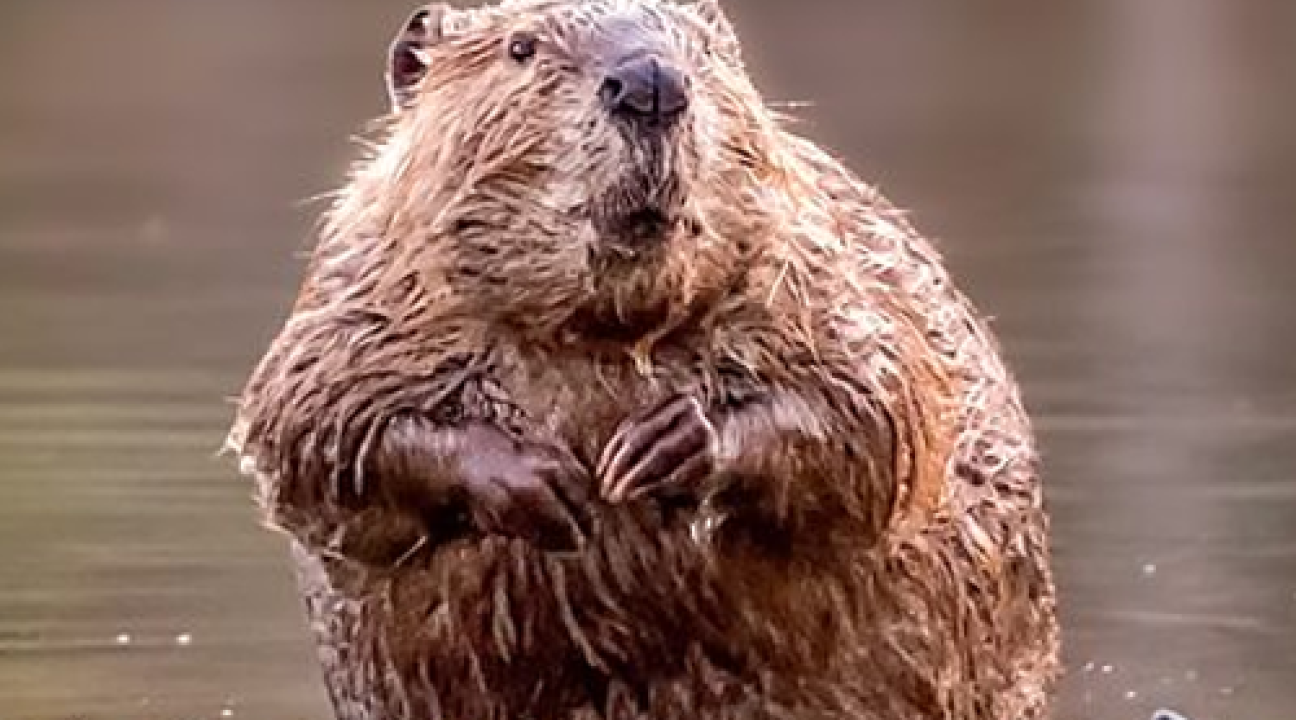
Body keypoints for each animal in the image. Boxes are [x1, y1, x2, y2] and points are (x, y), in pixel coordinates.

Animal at [228, 1, 1062, 720]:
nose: (651, 82)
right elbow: (311, 431)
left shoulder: (823, 268)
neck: (599, 332)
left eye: (704, 50)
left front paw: (661, 448)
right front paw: (542, 479)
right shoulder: (357, 294)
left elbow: (879, 408)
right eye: (521, 47)